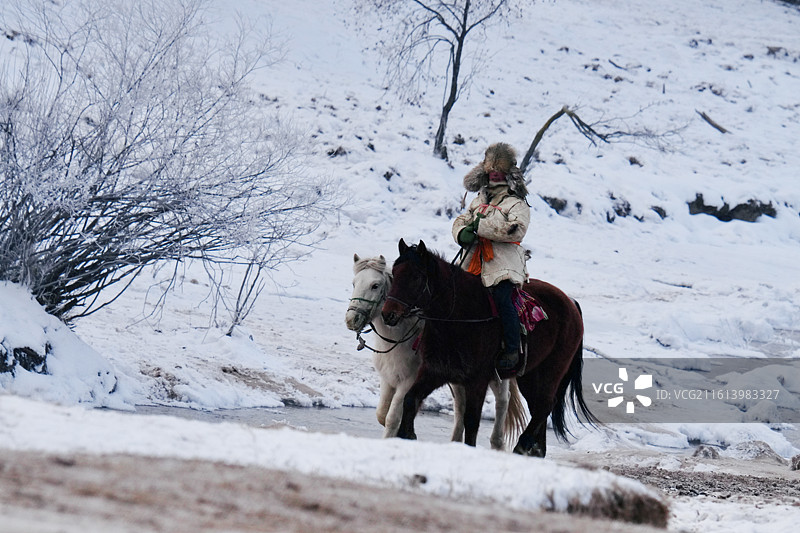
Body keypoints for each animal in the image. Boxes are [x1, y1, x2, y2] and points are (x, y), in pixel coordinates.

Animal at [345, 253, 526, 449]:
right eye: (354, 283)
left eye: (375, 285)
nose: (351, 319)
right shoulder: (389, 378)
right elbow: (382, 415)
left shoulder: (409, 381)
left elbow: (392, 418)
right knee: (460, 404)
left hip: (495, 375)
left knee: (503, 400)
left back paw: (497, 442)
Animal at [381, 240, 596, 457]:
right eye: (394, 272)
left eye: (416, 276)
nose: (388, 314)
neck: (458, 316)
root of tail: (570, 302)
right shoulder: (434, 371)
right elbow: (410, 399)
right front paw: (407, 435)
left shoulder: (478, 380)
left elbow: (471, 420)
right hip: (529, 374)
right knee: (538, 407)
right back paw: (536, 450)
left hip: (551, 370)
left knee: (545, 405)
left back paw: (522, 446)